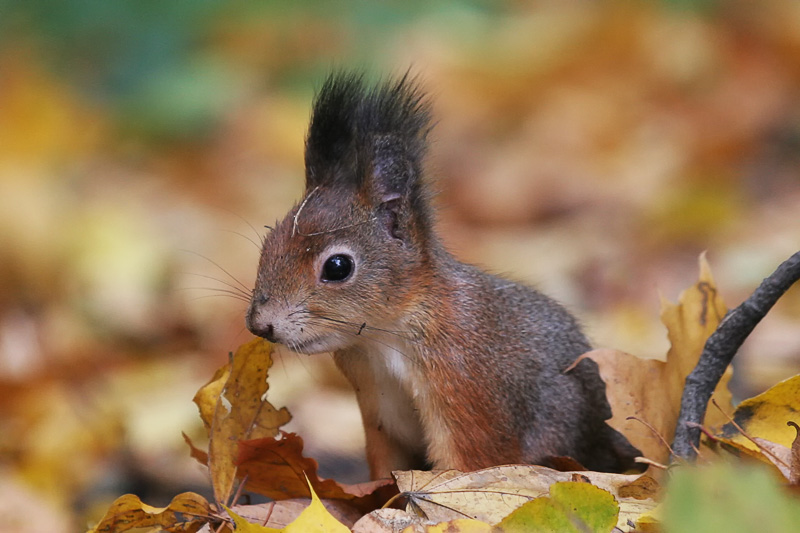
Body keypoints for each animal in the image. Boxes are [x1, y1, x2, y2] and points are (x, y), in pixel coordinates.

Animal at [247, 71, 640, 478]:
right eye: (267, 244)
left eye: (338, 267)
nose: (260, 324)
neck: (385, 339)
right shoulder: (377, 414)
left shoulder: (467, 388)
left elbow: (465, 468)